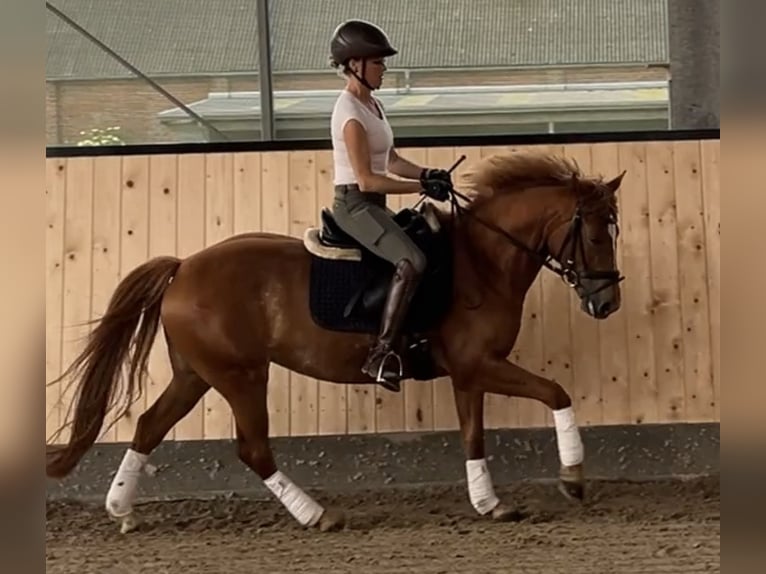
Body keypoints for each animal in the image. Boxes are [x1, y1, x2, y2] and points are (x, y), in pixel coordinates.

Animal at [46, 152, 624, 536]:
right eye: (596, 235)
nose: (608, 303)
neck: (481, 261)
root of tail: (183, 266)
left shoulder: (468, 372)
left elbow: (473, 436)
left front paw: (489, 503)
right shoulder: (480, 363)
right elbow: (556, 393)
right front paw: (573, 478)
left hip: (196, 373)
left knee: (149, 425)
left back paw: (122, 511)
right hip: (240, 374)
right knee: (252, 448)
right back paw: (317, 514)